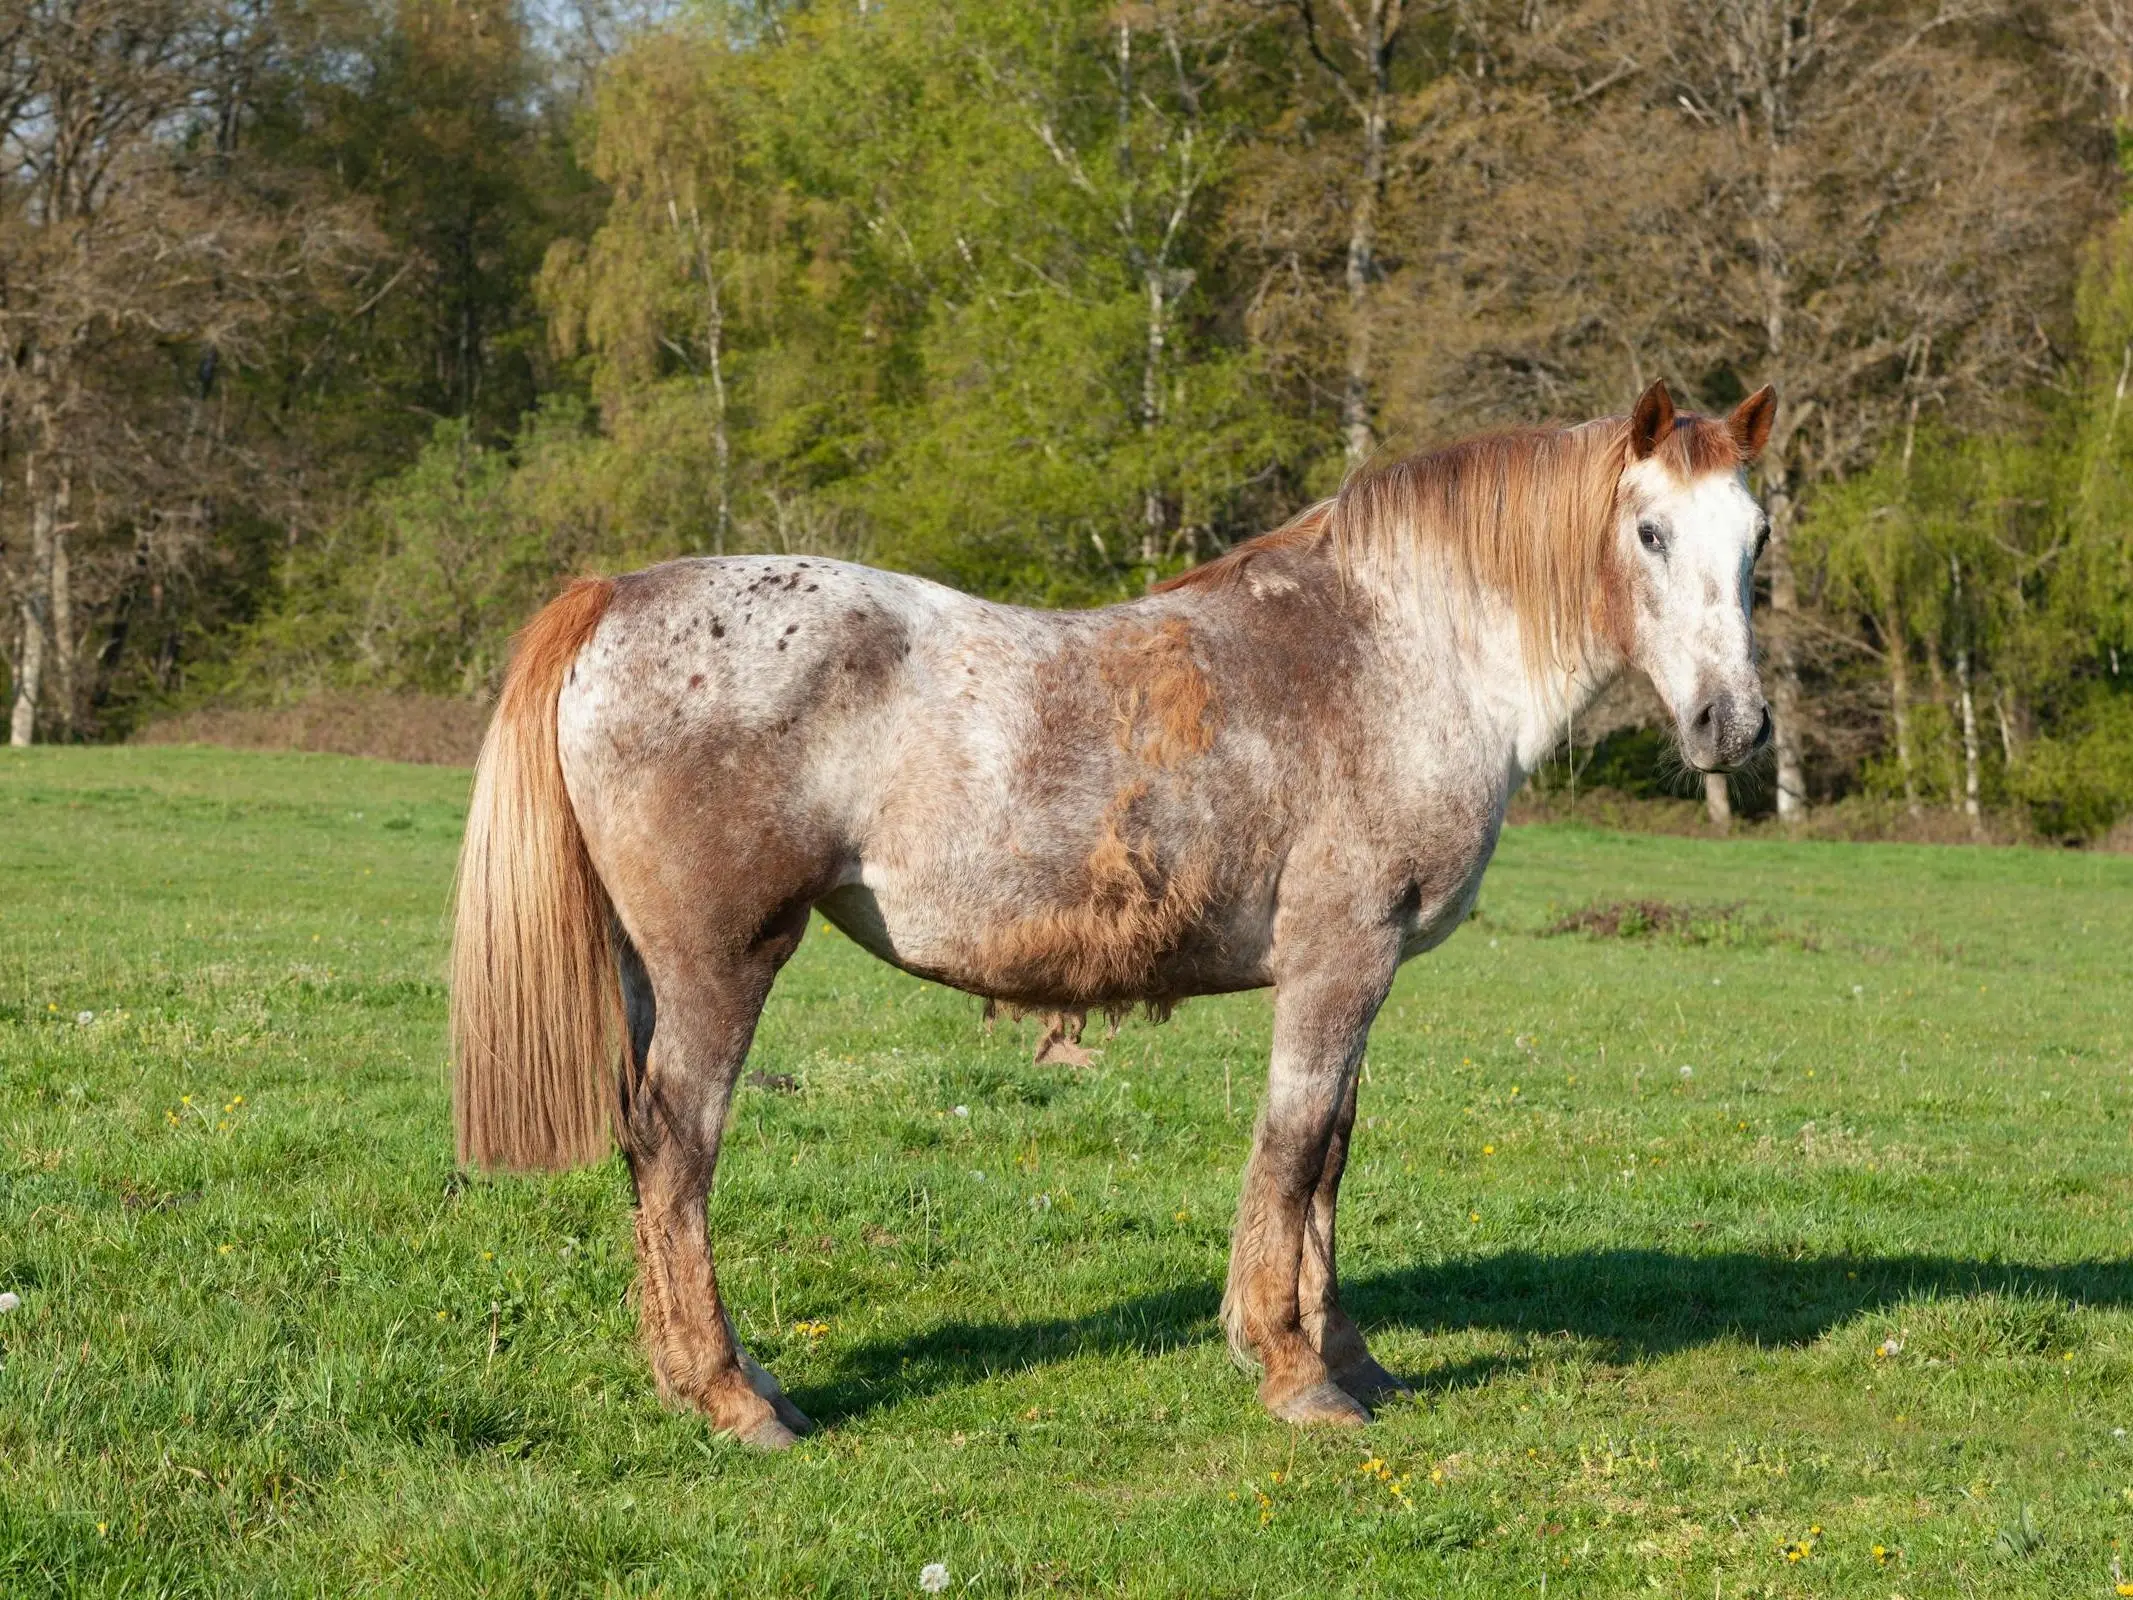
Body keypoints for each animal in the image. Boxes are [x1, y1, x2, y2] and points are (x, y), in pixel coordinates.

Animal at [454, 379, 1783, 1450]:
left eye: (1758, 538)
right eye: (1651, 531)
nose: (1734, 726)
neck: (1394, 650)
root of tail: (614, 598)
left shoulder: (1362, 975)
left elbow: (1333, 1155)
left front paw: (1350, 1357)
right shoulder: (1341, 959)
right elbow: (1295, 1149)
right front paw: (1296, 1372)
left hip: (651, 972)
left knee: (646, 1158)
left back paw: (715, 1380)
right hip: (722, 967)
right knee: (677, 1150)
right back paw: (733, 1398)